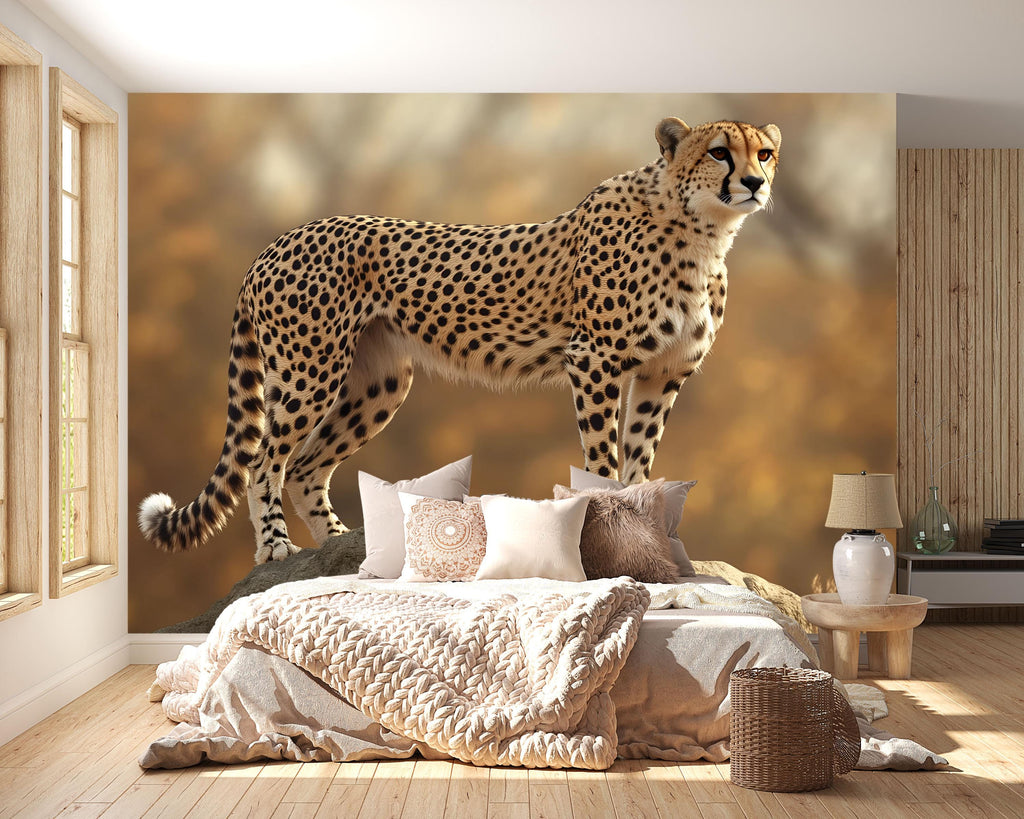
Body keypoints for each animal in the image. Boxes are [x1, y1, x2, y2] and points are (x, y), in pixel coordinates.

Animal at [139, 116, 781, 564]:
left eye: (765, 153)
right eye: (719, 151)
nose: (755, 182)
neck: (702, 232)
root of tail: (280, 239)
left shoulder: (660, 375)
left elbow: (640, 464)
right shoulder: (594, 361)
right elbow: (602, 462)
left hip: (380, 383)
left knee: (304, 466)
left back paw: (348, 547)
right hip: (309, 369)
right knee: (266, 461)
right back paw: (275, 547)